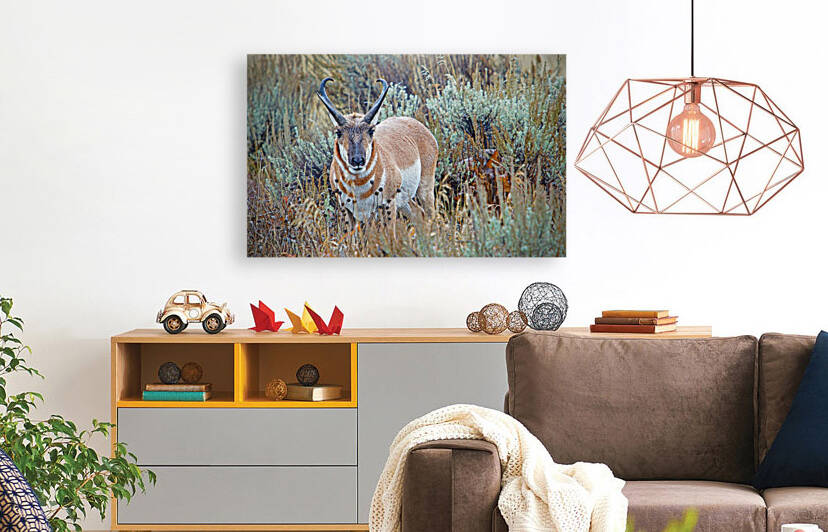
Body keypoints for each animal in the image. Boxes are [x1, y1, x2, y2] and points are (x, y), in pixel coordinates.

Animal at [316, 78, 438, 227]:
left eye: (371, 130)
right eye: (338, 132)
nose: (358, 160)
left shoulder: (388, 205)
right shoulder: (347, 211)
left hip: (425, 189)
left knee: (430, 214)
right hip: (405, 202)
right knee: (419, 214)